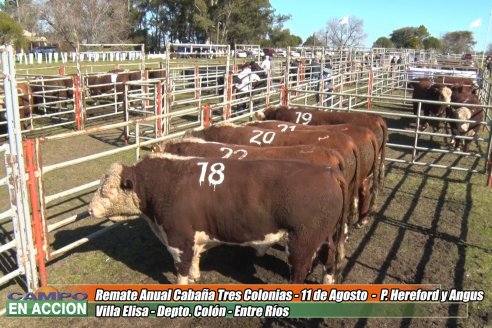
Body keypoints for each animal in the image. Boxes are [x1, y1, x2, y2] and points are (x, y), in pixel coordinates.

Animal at [89, 154, 350, 284]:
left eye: (106, 191)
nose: (90, 210)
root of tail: (328, 171)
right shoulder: (193, 237)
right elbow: (193, 261)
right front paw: (195, 276)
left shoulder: (178, 238)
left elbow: (181, 268)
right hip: (323, 235)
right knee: (329, 259)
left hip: (301, 241)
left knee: (299, 270)